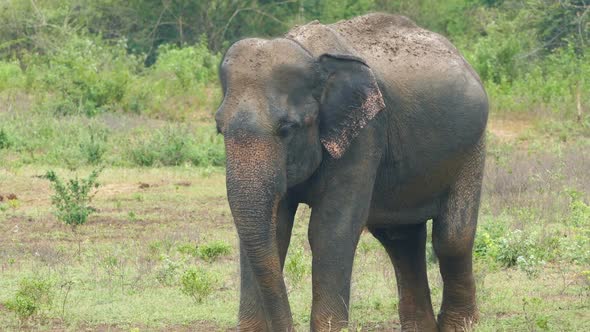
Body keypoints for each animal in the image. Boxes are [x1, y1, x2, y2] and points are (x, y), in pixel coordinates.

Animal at [216, 13, 490, 332]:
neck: (311, 56)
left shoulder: (366, 133)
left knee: (451, 237)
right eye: (219, 128)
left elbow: (330, 230)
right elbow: (275, 228)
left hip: (472, 148)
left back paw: (461, 324)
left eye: (287, 129)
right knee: (400, 238)